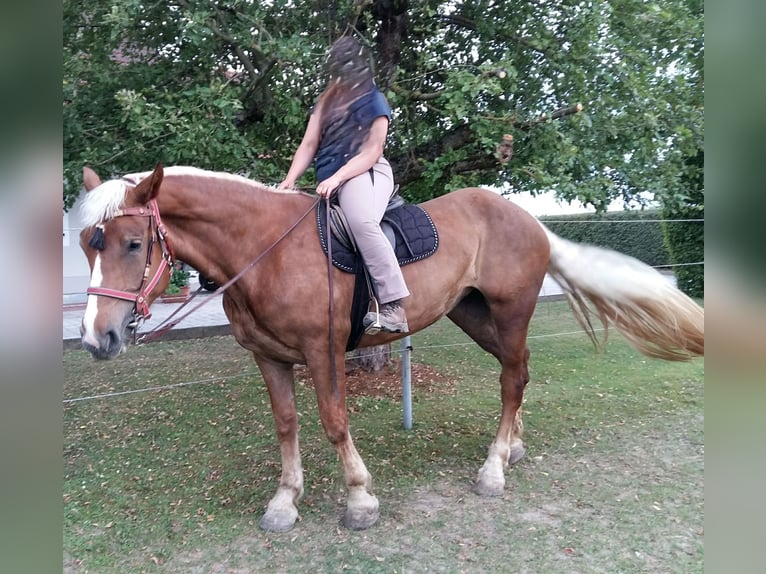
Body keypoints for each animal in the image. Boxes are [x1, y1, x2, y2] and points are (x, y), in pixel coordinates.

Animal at [79, 164, 708, 532]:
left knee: (512, 379)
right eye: (89, 244)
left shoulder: (323, 351)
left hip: (510, 312)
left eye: (133, 243)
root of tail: (529, 220)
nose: (95, 338)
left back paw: (493, 469)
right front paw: (285, 501)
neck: (266, 249)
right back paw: (513, 448)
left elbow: (334, 421)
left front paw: (360, 500)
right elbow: (287, 424)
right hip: (474, 315)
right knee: (520, 371)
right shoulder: (270, 357)